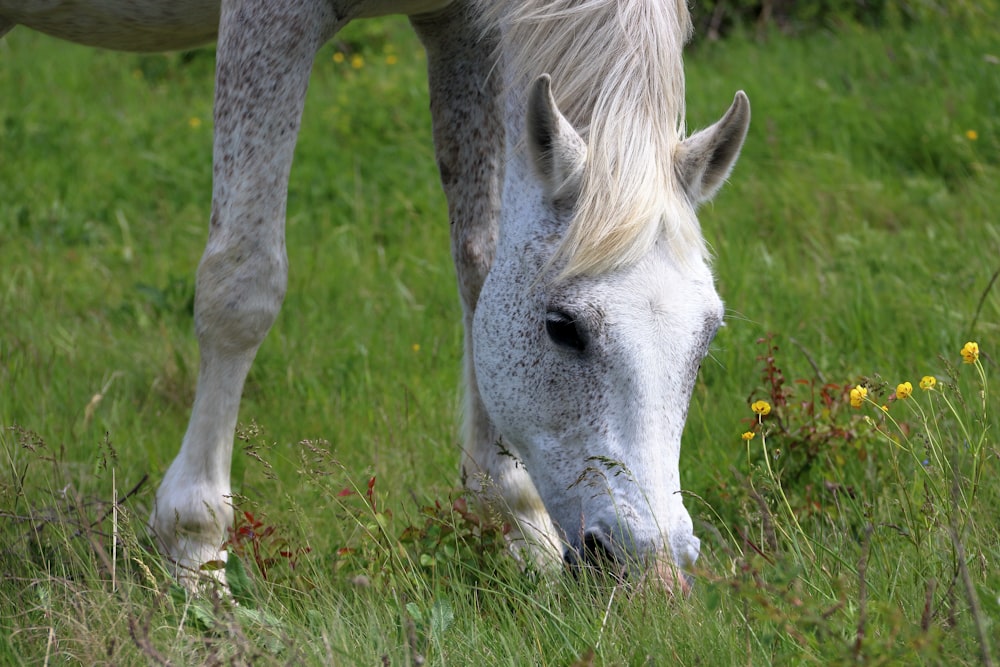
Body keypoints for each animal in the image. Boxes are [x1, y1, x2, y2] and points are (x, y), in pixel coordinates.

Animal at [0, 0, 748, 588]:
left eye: (708, 335)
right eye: (563, 326)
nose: (649, 565)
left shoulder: (460, 26)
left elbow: (479, 262)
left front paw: (517, 524)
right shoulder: (270, 18)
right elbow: (242, 285)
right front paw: (196, 550)